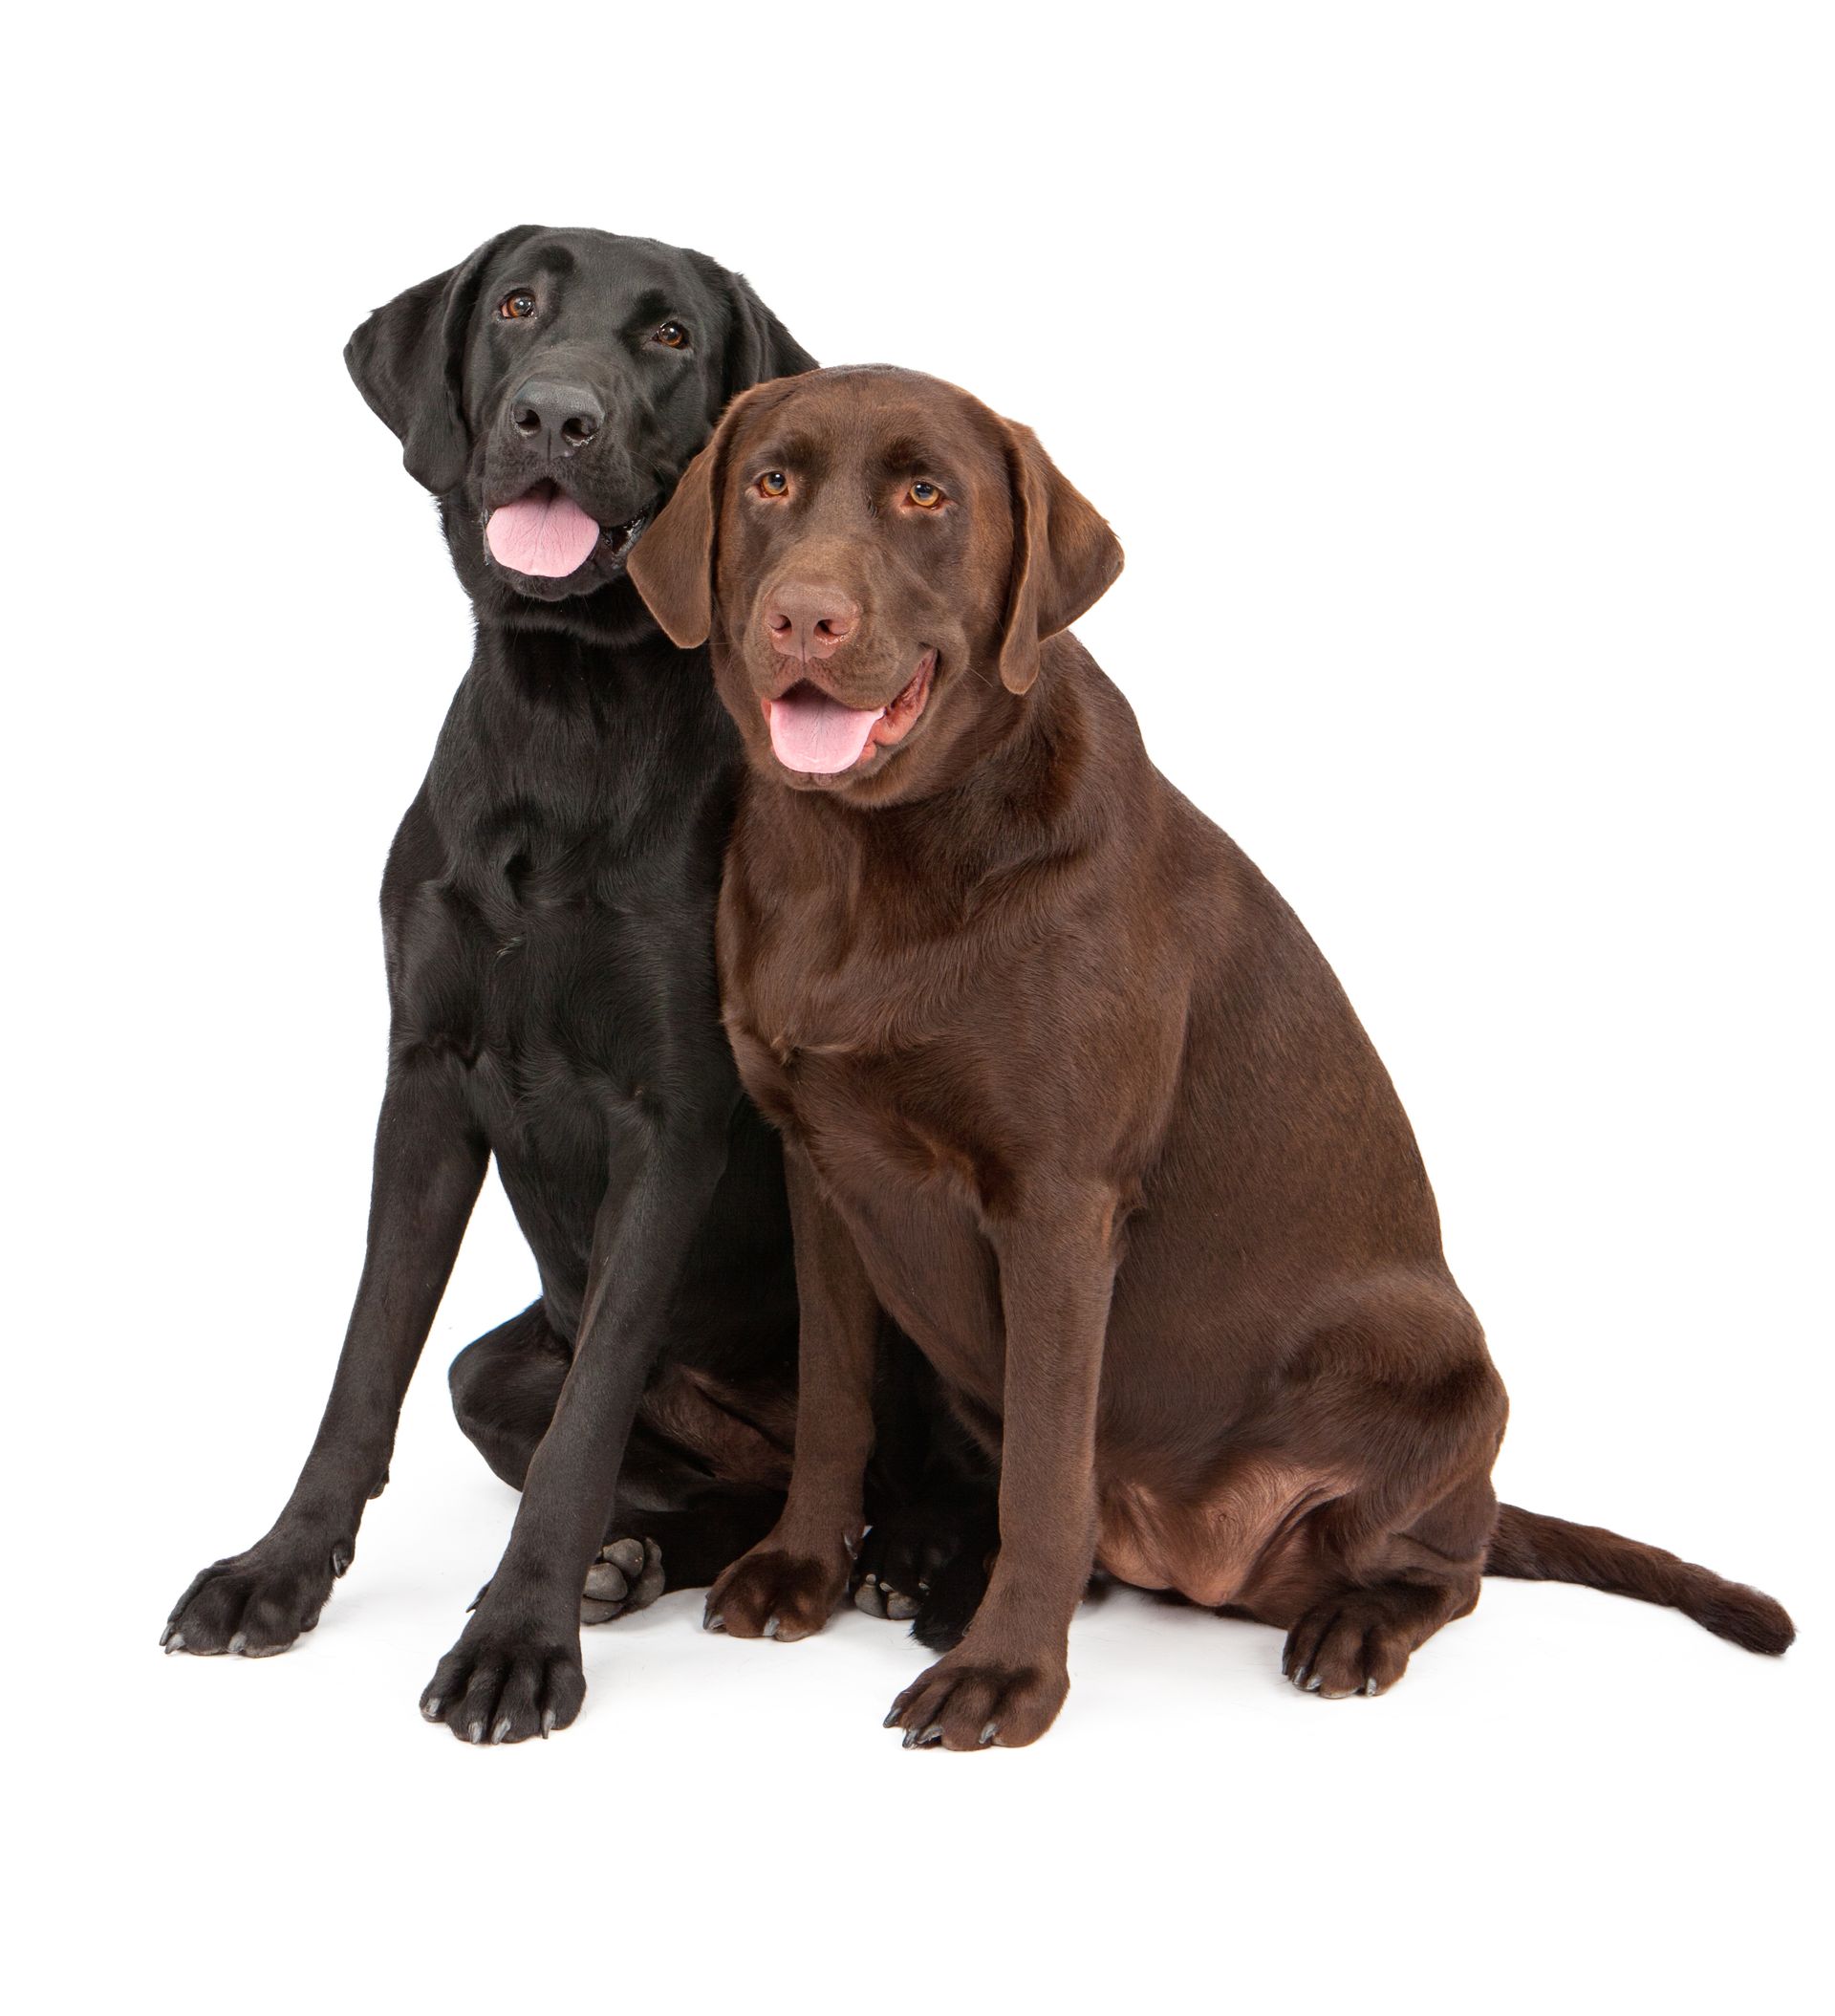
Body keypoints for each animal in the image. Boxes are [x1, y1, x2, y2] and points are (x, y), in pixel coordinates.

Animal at [162, 231, 992, 1749]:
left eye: (669, 336)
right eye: (514, 305)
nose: (557, 414)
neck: (569, 719)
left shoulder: (672, 1122)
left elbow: (588, 1415)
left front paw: (514, 1643)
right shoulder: (425, 1083)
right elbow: (365, 1366)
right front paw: (276, 1574)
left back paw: (914, 1560)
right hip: (501, 1364)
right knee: (699, 1489)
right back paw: (639, 1558)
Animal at [633, 366, 1799, 1749]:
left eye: (927, 493)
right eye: (771, 482)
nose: (806, 615)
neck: (872, 858)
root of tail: (1200, 1559)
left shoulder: (1059, 1204)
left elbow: (1045, 1477)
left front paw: (1006, 1676)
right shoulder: (820, 1168)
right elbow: (832, 1404)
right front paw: (798, 1571)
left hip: (1447, 1363)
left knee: (1446, 1570)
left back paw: (1351, 1625)